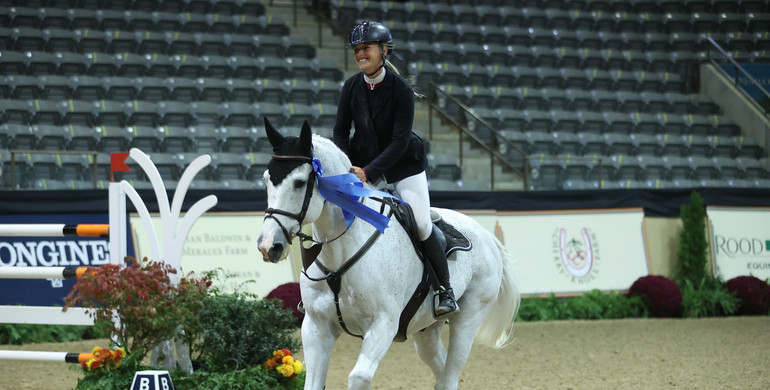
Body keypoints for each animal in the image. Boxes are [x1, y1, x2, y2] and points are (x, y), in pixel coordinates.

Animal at [255, 119, 520, 390]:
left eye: (299, 182)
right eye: (266, 179)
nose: (269, 246)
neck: (340, 253)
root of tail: (487, 236)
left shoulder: (383, 325)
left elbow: (358, 377)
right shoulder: (317, 327)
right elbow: (313, 382)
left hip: (468, 317)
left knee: (451, 371)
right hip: (426, 329)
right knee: (442, 371)